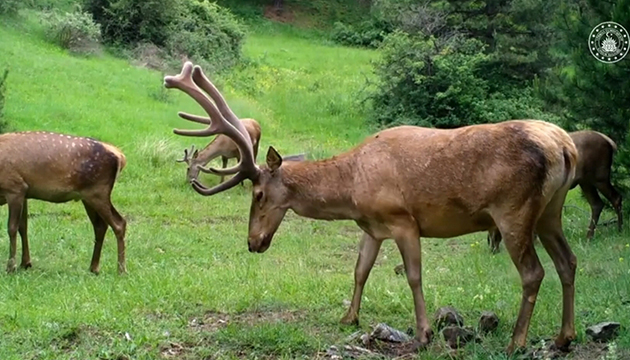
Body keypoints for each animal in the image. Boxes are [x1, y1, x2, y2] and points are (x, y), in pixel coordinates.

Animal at [0, 131, 128, 274]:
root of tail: (121, 156)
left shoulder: (15, 188)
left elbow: (12, 228)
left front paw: (11, 267)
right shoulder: (25, 193)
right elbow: (23, 227)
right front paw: (25, 263)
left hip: (98, 192)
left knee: (119, 223)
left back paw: (121, 270)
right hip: (89, 196)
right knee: (100, 226)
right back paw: (94, 268)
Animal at [164, 62, 584, 354]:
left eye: (258, 195)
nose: (253, 243)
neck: (352, 189)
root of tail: (565, 147)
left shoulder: (403, 220)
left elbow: (413, 276)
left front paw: (423, 334)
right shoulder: (371, 227)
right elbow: (360, 270)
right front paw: (349, 317)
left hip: (514, 210)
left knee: (533, 272)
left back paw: (516, 341)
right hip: (551, 210)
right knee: (568, 261)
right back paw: (563, 337)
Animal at [486, 129, 624, 253]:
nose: (493, 249)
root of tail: (610, 143)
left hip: (599, 177)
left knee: (616, 198)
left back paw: (619, 230)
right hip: (585, 182)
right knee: (597, 204)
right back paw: (589, 236)